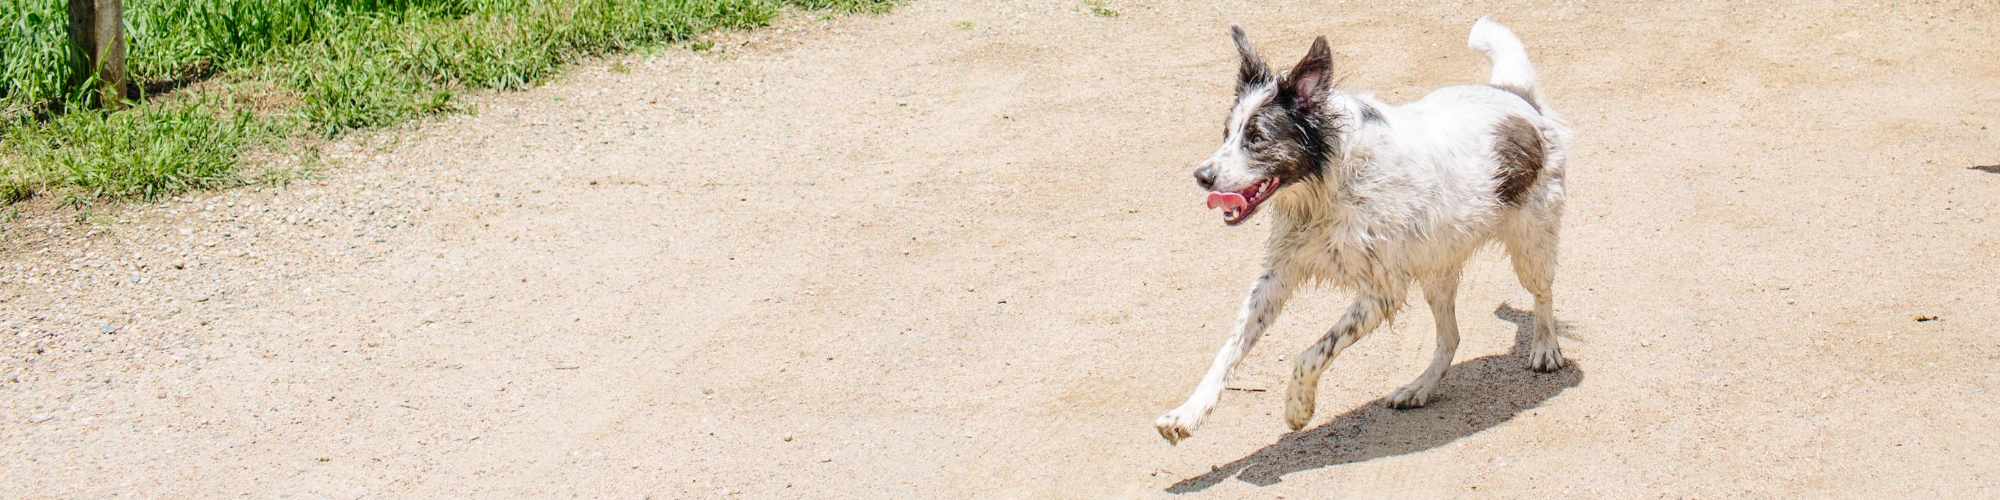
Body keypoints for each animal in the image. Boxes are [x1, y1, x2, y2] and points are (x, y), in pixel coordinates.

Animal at [1160, 18, 1576, 446]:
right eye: (1226, 133)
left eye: (1257, 138)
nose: (1202, 177)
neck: (1329, 187)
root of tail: (1515, 96)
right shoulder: (1277, 276)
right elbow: (1228, 350)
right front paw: (1187, 413)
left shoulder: (1381, 293)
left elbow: (1310, 354)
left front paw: (1298, 408)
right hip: (1438, 268)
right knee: (1450, 338)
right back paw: (1419, 388)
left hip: (1531, 244)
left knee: (1543, 296)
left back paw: (1545, 348)